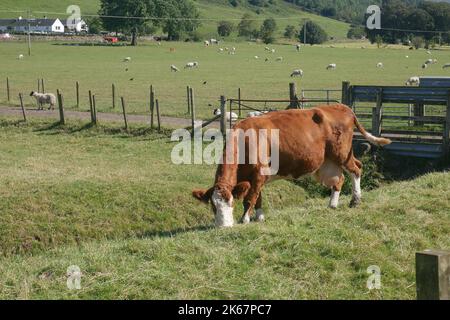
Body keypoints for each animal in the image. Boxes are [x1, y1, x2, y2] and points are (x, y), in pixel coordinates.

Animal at [192, 105, 390, 228]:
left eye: (231, 203)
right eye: (213, 206)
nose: (223, 226)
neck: (246, 142)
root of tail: (341, 107)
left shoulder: (258, 175)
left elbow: (250, 198)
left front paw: (245, 219)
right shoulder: (254, 179)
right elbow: (258, 198)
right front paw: (260, 217)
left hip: (341, 153)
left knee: (356, 169)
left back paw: (355, 200)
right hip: (328, 162)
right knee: (339, 180)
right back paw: (333, 204)